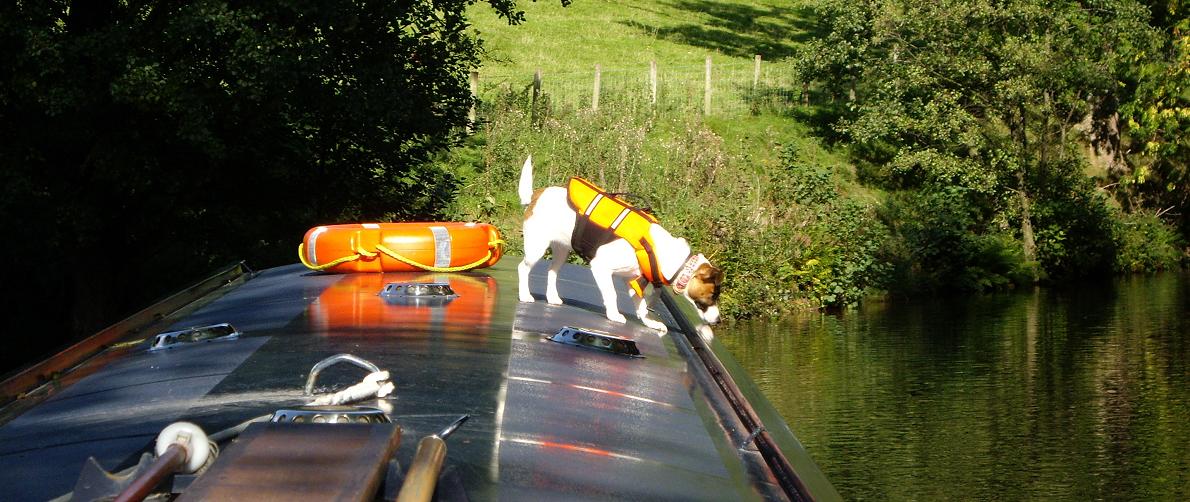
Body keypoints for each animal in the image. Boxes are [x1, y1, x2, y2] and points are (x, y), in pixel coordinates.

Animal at [516, 154, 718, 330]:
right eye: (714, 295)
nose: (718, 320)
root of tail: (535, 196)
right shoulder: (601, 267)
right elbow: (612, 294)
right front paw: (613, 315)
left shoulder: (634, 281)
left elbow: (642, 307)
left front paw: (650, 323)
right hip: (536, 248)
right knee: (523, 268)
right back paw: (525, 294)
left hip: (562, 251)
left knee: (552, 272)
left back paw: (552, 297)